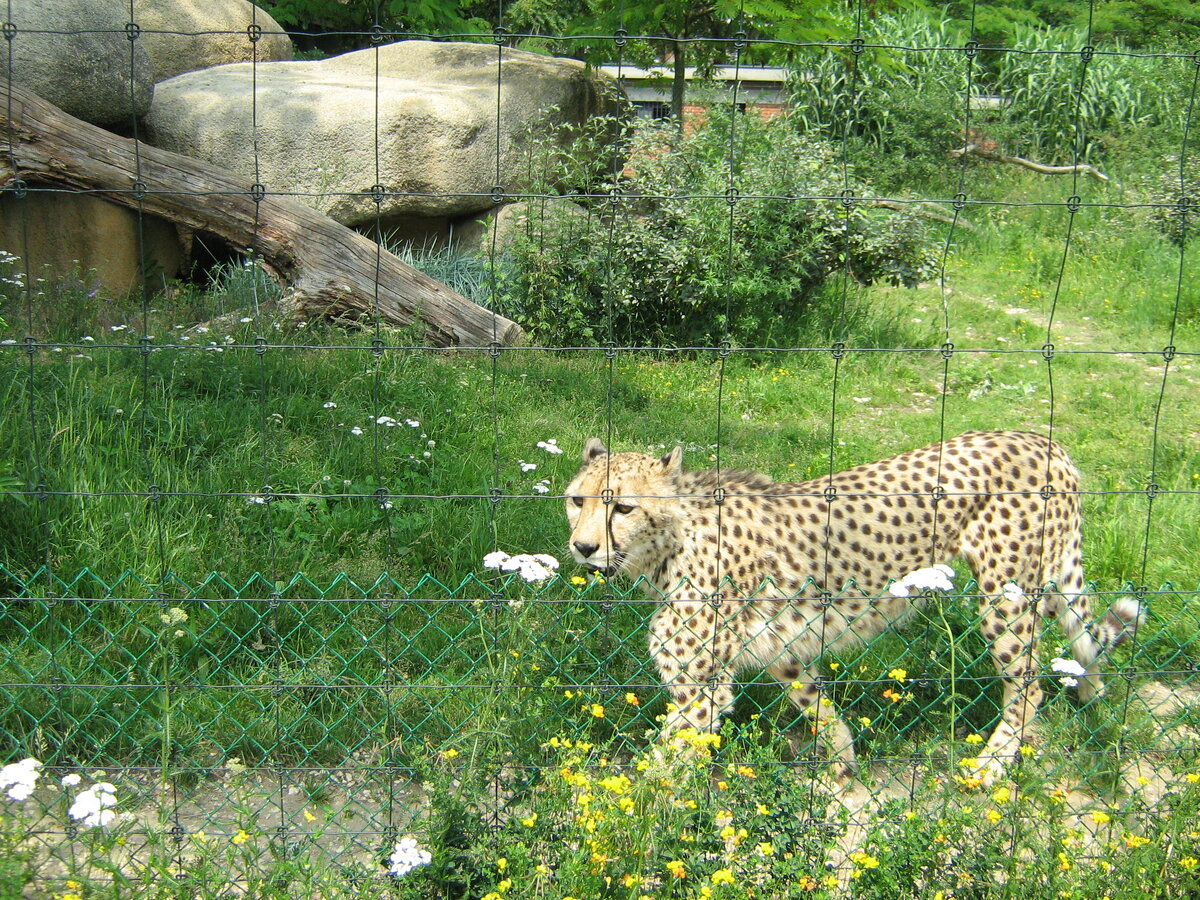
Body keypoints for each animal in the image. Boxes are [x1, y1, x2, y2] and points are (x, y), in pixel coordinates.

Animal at [564, 434, 1142, 777]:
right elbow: (817, 704)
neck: (675, 537)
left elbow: (656, 774)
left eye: (623, 507)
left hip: (1004, 596)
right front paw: (844, 766)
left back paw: (992, 765)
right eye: (577, 501)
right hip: (1050, 574)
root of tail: (1043, 439)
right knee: (1083, 629)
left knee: (1029, 685)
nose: (583, 548)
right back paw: (1091, 691)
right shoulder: (784, 647)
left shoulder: (699, 694)